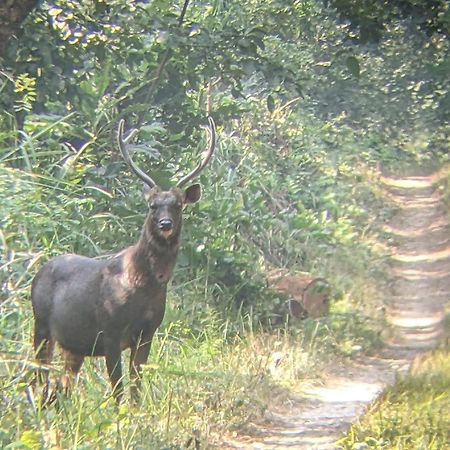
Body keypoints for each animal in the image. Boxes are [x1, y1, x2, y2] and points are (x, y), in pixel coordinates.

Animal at [30, 117, 216, 404]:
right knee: (39, 377)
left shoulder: (148, 332)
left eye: (178, 205)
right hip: (40, 324)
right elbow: (118, 387)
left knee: (61, 387)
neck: (142, 286)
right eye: (152, 206)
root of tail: (38, 272)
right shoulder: (110, 329)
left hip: (73, 344)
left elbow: (136, 385)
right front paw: (121, 414)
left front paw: (137, 411)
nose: (165, 224)